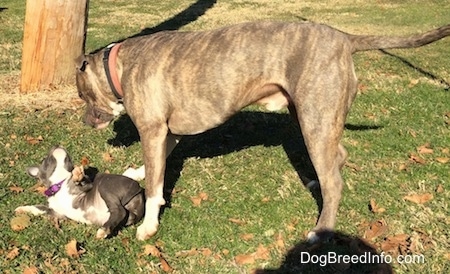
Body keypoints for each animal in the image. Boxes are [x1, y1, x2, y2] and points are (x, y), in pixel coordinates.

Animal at [14, 147, 145, 239]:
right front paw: (22, 209)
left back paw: (103, 230)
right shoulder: (56, 213)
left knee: (119, 211)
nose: (56, 145)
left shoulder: (86, 186)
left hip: (105, 188)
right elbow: (38, 208)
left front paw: (77, 174)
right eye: (44, 160)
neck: (59, 184)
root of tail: (138, 189)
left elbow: (80, 180)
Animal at [75, 22, 448, 242]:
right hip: (313, 118)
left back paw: (322, 227)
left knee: (335, 181)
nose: (84, 121)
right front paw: (137, 171)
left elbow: (155, 188)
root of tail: (345, 38)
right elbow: (157, 164)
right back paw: (315, 181)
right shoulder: (168, 132)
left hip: (314, 120)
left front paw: (149, 225)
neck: (119, 66)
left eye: (82, 95)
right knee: (336, 158)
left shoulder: (153, 130)